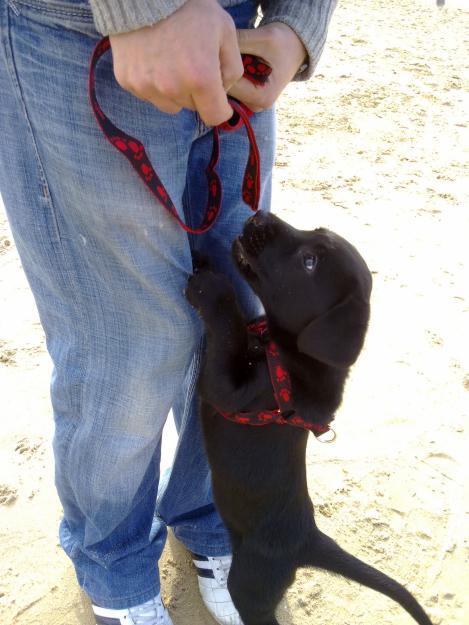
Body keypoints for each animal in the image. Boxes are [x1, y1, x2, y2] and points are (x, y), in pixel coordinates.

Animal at [185, 211, 434, 624]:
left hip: (250, 582)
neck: (288, 356)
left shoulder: (229, 392)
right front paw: (201, 258)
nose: (259, 216)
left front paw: (212, 286)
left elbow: (229, 325)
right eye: (313, 233)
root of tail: (308, 541)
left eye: (309, 262)